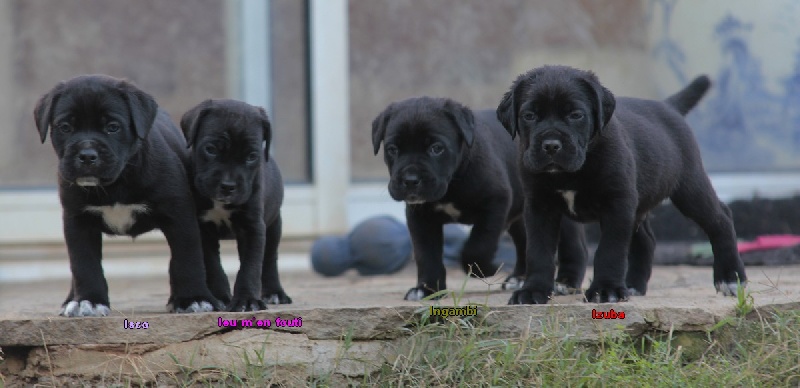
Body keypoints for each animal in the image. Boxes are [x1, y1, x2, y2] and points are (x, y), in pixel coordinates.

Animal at [33, 74, 222, 316]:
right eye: (65, 127)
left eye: (113, 127)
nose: (87, 155)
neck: (116, 183)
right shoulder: (77, 222)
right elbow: (84, 265)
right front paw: (89, 301)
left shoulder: (180, 218)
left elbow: (186, 259)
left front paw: (192, 299)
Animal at [181, 98, 290, 310]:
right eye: (211, 149)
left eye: (252, 156)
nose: (228, 186)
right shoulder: (202, 229)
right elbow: (213, 265)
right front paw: (220, 296)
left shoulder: (253, 228)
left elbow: (250, 267)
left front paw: (247, 300)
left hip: (274, 226)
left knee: (270, 260)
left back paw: (274, 292)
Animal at [370, 96, 588, 300]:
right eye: (392, 149)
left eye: (436, 148)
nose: (410, 180)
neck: (453, 181)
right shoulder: (421, 218)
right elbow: (426, 255)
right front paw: (427, 289)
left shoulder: (495, 205)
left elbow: (478, 246)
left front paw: (486, 268)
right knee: (525, 240)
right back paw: (518, 278)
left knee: (575, 247)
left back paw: (566, 283)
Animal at [496, 65, 748, 304]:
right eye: (529, 115)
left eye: (576, 115)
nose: (550, 145)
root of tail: (669, 107)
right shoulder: (540, 207)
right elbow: (539, 251)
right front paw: (533, 291)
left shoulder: (617, 204)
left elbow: (610, 249)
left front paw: (605, 290)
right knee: (646, 239)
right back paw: (634, 285)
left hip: (690, 188)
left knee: (720, 219)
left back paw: (730, 278)